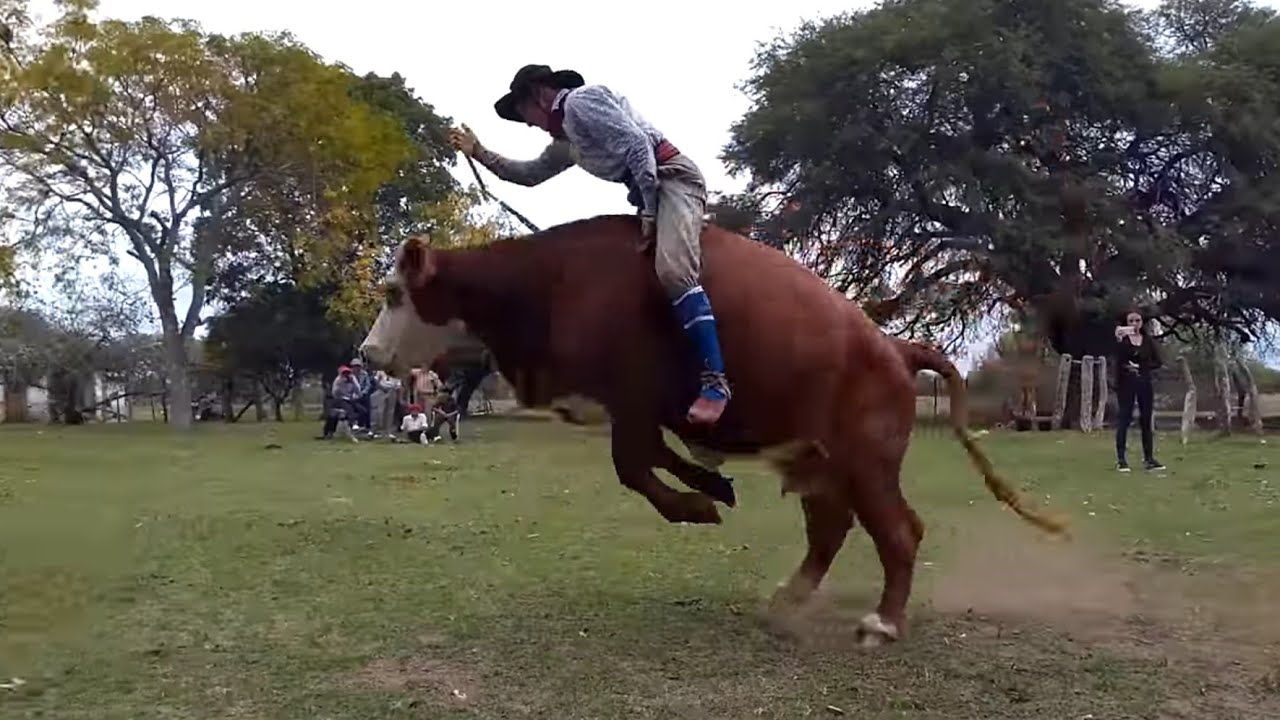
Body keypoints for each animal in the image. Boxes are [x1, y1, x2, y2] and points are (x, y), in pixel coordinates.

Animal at [359, 214, 1068, 646]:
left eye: (394, 292)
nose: (368, 354)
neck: (558, 279)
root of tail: (893, 345)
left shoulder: (633, 399)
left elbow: (634, 464)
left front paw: (700, 502)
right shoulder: (634, 410)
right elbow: (648, 458)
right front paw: (712, 488)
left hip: (867, 464)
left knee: (898, 531)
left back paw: (882, 625)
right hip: (821, 464)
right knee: (831, 529)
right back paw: (786, 600)